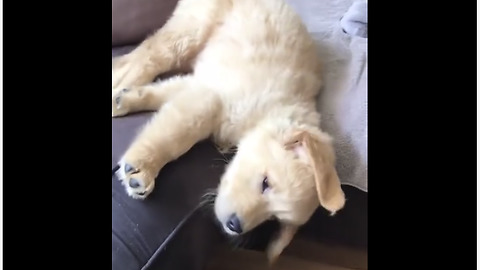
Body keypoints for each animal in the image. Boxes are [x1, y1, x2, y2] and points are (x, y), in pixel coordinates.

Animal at [112, 0, 344, 262]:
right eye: (265, 183)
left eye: (273, 218)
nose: (235, 226)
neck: (272, 111)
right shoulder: (212, 98)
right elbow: (176, 134)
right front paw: (142, 168)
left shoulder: (203, 84)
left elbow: (163, 93)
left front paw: (125, 99)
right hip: (188, 34)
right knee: (143, 58)